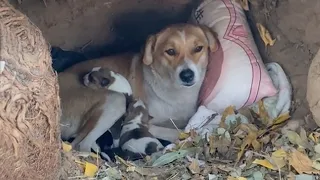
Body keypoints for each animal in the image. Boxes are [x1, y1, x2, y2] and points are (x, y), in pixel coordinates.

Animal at [58, 23, 218, 152]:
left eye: (198, 48)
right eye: (170, 51)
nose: (187, 75)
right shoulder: (149, 123)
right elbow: (179, 132)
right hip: (115, 100)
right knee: (81, 145)